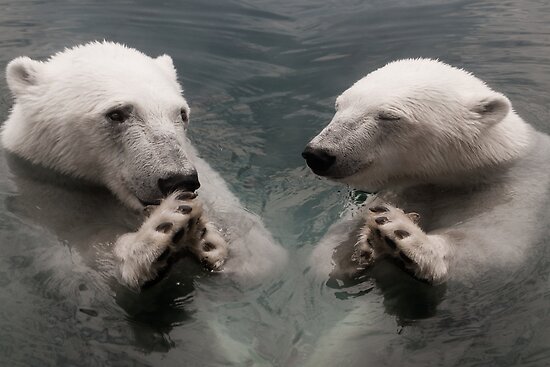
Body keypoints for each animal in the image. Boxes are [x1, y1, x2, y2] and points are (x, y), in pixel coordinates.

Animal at [3, 41, 288, 290]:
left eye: (181, 114)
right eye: (116, 114)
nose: (179, 180)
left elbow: (266, 257)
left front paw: (209, 241)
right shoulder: (46, 200)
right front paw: (164, 231)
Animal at [304, 59, 550, 284]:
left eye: (388, 116)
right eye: (339, 106)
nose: (318, 154)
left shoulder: (516, 187)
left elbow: (498, 250)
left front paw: (401, 234)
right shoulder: (406, 189)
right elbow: (323, 258)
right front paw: (363, 246)